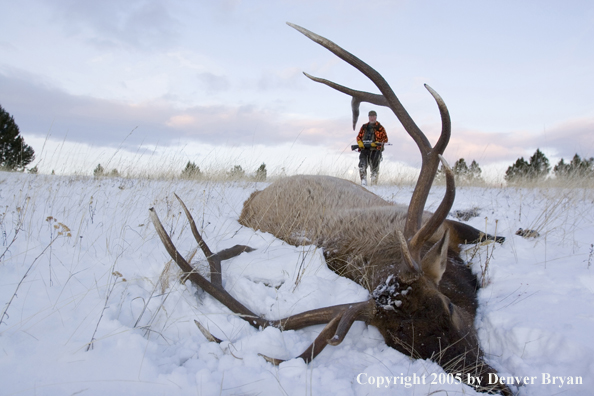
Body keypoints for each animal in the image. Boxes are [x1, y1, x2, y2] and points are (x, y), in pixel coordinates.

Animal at [148, 24, 508, 396]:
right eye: (400, 343)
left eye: (448, 307)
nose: (493, 384)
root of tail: (253, 195)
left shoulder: (445, 226)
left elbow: (495, 235)